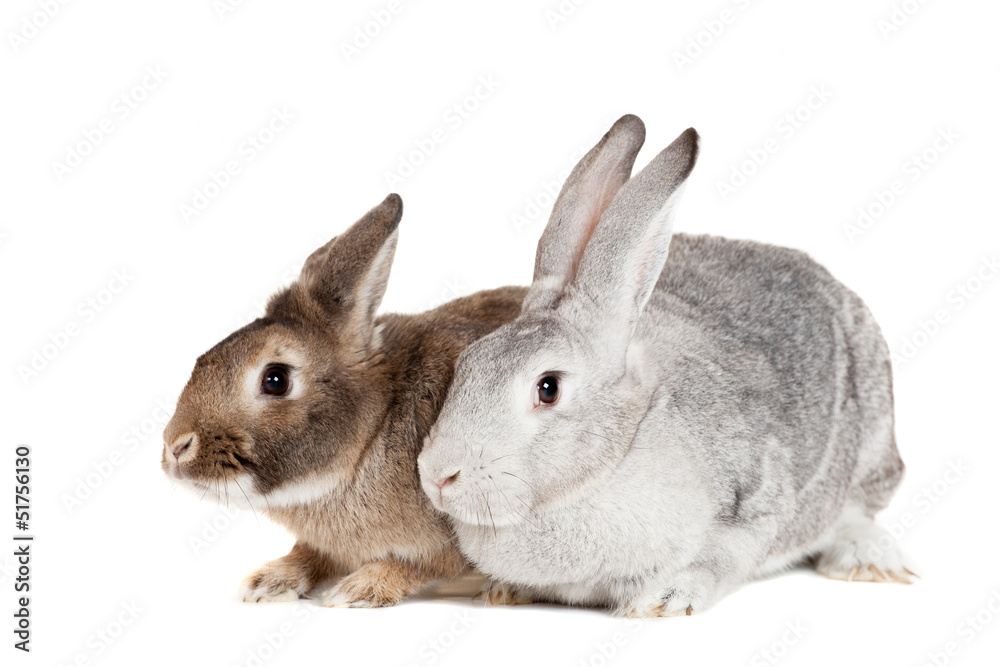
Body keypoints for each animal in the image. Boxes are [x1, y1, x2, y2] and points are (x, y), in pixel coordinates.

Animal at [161, 193, 526, 607]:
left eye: (275, 380)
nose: (175, 446)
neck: (372, 431)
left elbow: (421, 565)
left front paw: (357, 590)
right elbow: (311, 554)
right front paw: (268, 582)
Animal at [416, 115, 911, 617]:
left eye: (548, 387)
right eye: (468, 362)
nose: (436, 475)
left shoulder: (755, 502)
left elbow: (721, 560)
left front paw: (665, 601)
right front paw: (501, 591)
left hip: (872, 435)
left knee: (859, 510)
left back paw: (868, 560)